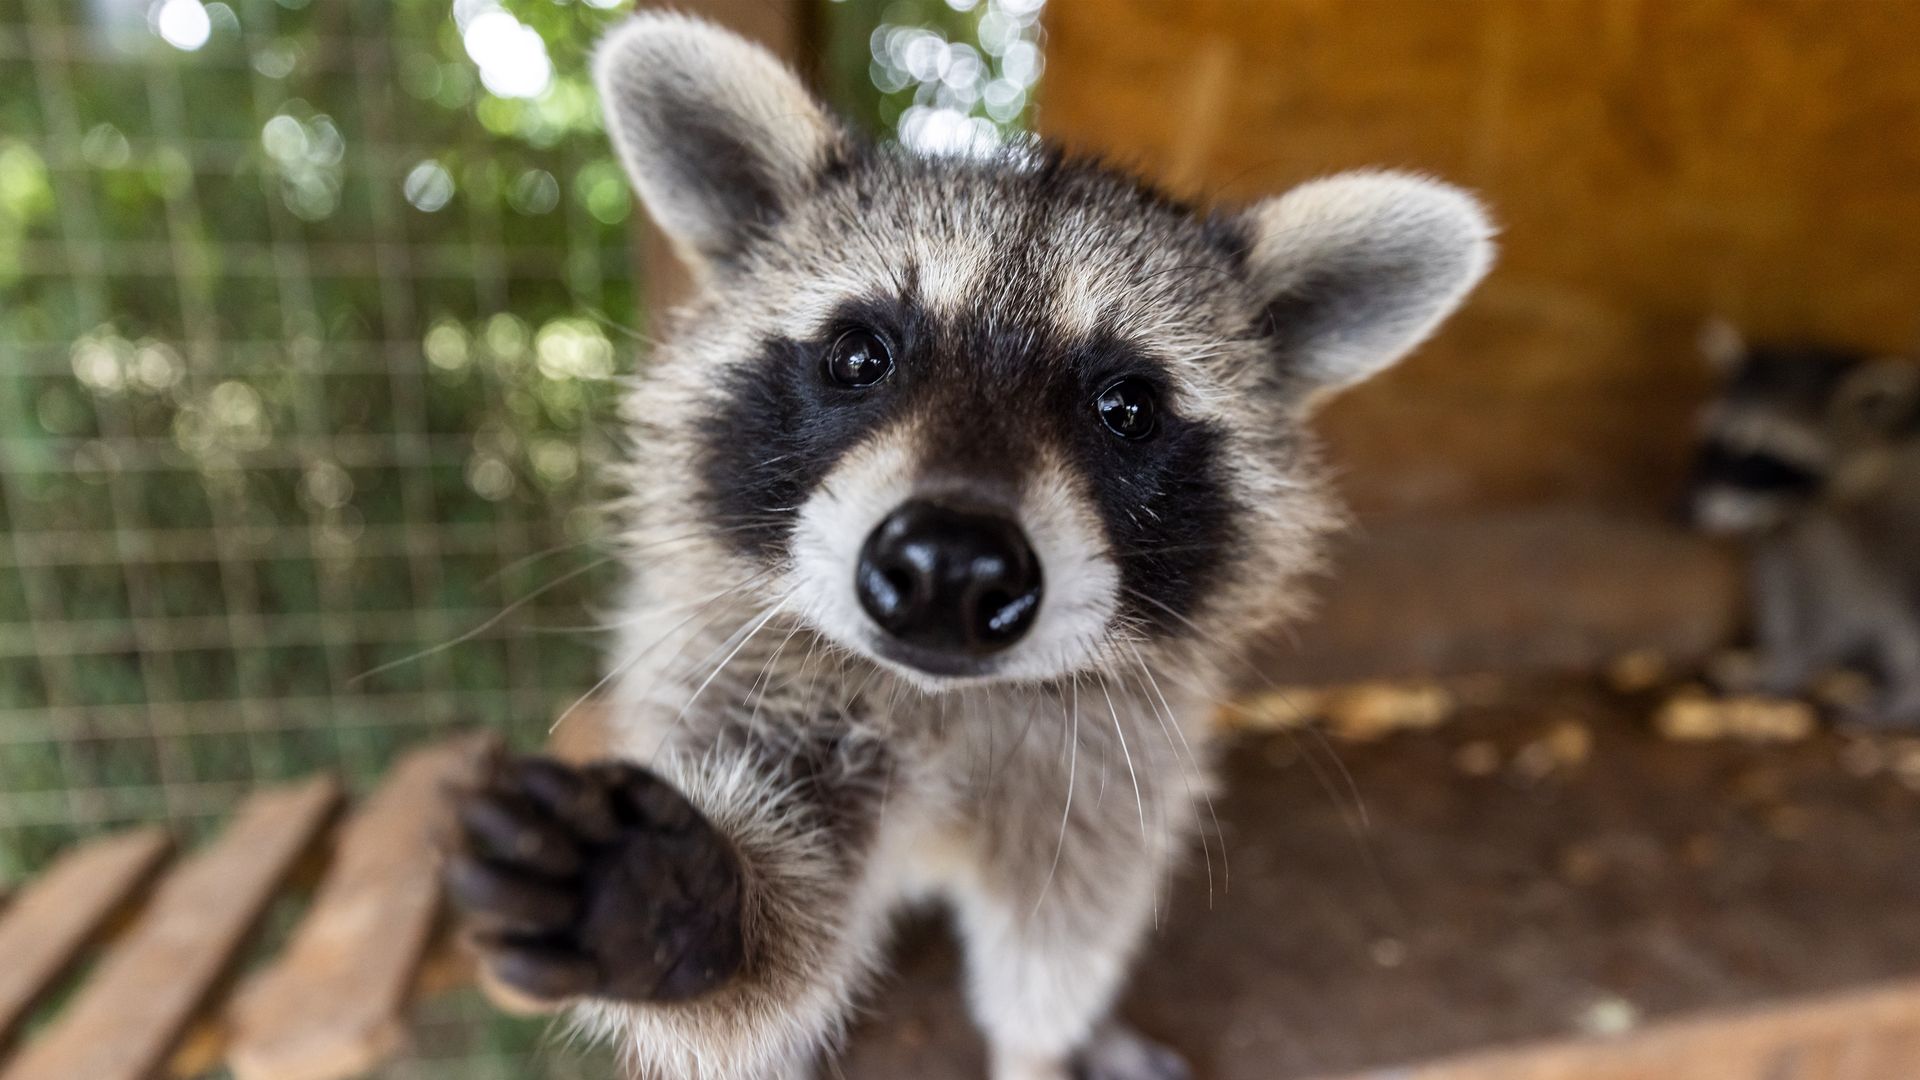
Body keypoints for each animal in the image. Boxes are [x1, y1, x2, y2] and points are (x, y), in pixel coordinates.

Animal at [444, 14, 1493, 1080]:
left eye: (1128, 408)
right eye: (857, 355)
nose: (950, 567)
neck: (946, 701)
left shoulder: (1109, 769)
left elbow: (1063, 940)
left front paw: (1043, 1049)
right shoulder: (739, 669)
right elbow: (781, 943)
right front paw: (689, 911)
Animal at [1685, 319, 1920, 726]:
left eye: (1761, 455)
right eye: (1713, 444)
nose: (1694, 512)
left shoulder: (1897, 523)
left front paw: (1907, 697)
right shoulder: (1798, 531)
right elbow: (1794, 597)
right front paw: (1783, 663)